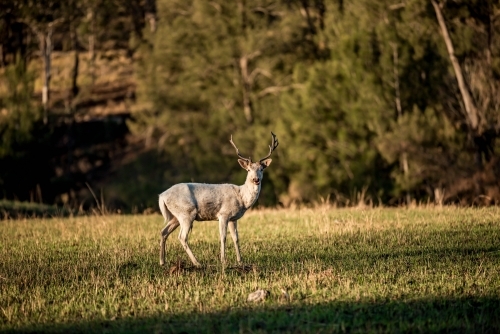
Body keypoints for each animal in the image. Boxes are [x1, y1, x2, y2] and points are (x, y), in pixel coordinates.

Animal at [159, 132, 280, 268]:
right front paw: (223, 260)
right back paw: (197, 263)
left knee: (163, 232)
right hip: (186, 212)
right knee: (182, 237)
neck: (242, 198)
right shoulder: (223, 214)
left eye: (261, 169)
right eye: (248, 170)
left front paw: (240, 261)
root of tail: (162, 196)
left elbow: (236, 238)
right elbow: (223, 237)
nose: (256, 179)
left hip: (176, 216)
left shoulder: (233, 218)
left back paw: (162, 262)